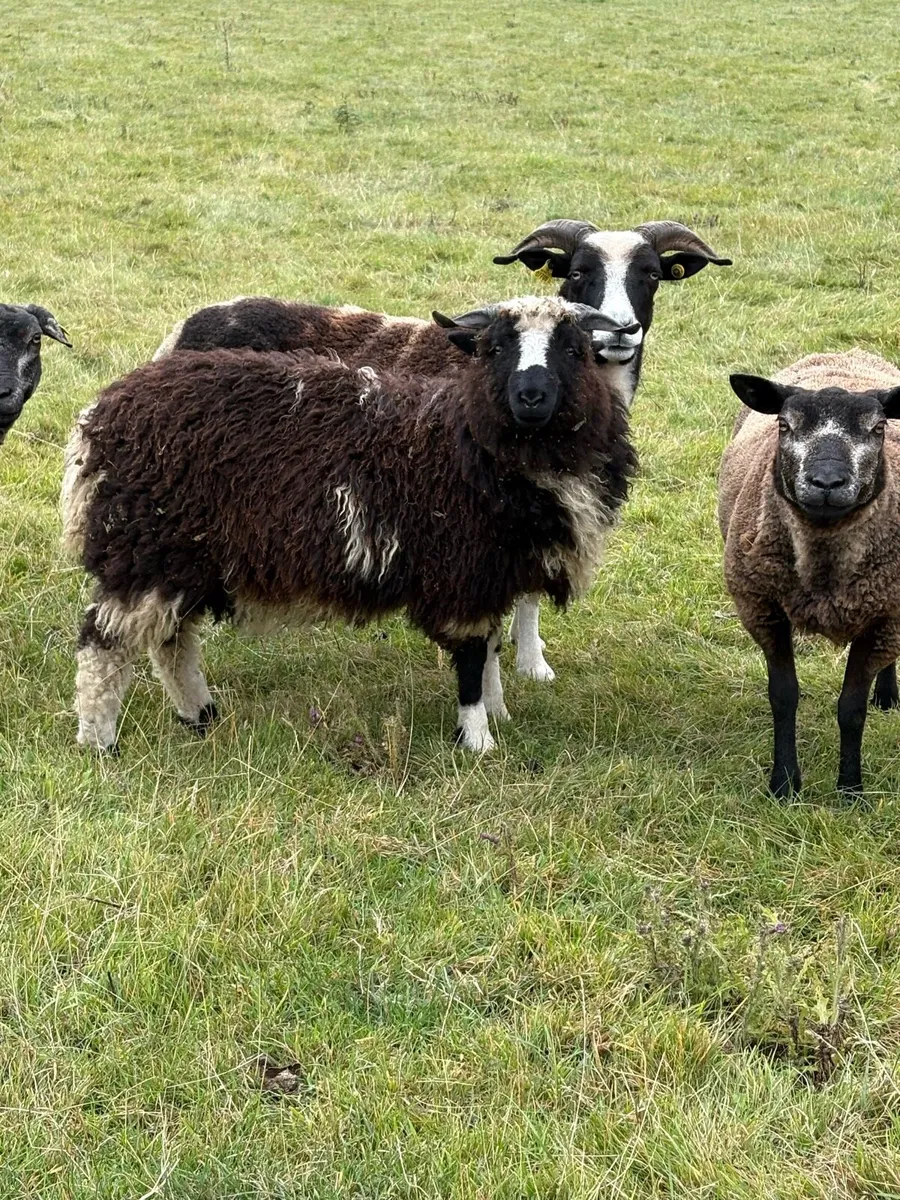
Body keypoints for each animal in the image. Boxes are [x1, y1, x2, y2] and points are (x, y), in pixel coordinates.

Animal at [64, 296, 636, 755]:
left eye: (574, 349)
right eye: (494, 349)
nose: (531, 396)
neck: (461, 437)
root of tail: (100, 414)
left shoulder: (490, 569)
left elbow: (493, 647)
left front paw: (498, 712)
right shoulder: (461, 569)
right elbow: (475, 658)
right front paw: (477, 740)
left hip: (182, 557)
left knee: (172, 641)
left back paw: (200, 715)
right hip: (144, 547)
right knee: (103, 647)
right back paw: (99, 742)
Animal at [719, 350, 900, 798]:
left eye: (878, 428)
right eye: (785, 425)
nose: (827, 482)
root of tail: (846, 353)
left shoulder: (886, 614)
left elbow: (851, 709)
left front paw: (850, 791)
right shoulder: (762, 608)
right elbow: (784, 697)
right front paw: (784, 785)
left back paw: (888, 695)